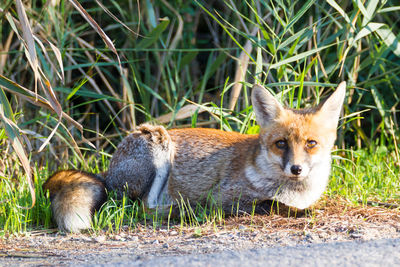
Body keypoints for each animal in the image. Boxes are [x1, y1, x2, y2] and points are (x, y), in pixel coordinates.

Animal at [42, 82, 346, 233]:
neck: (295, 191)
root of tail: (106, 174)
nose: (296, 169)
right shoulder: (224, 198)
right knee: (140, 208)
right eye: (281, 144)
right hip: (158, 145)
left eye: (311, 144)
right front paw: (300, 212)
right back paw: (183, 211)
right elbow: (270, 204)